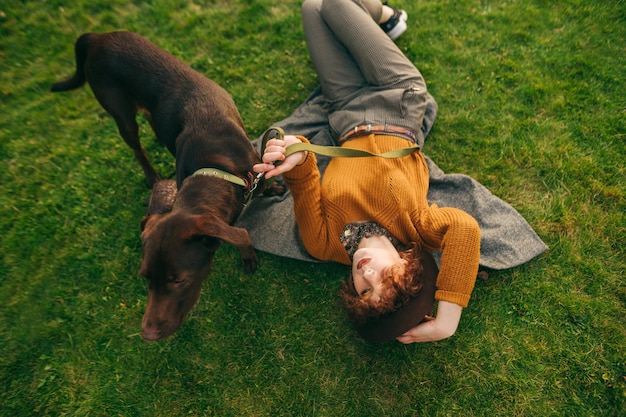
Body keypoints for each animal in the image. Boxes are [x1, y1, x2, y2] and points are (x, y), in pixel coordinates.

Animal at [48, 30, 272, 340]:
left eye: (179, 280)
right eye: (145, 277)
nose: (148, 334)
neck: (215, 165)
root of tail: (96, 36)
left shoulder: (253, 169)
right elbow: (240, 234)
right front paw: (248, 255)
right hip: (120, 113)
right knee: (136, 147)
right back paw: (151, 176)